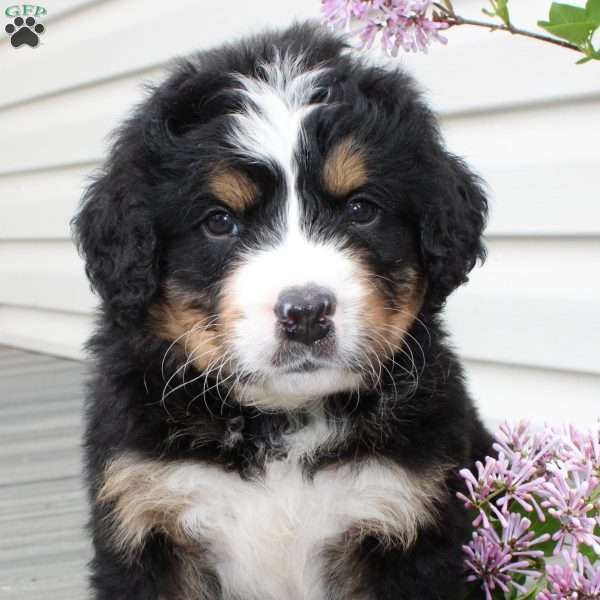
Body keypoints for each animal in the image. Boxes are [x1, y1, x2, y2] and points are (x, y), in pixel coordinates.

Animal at [74, 21, 492, 600]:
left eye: (360, 209)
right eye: (219, 221)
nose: (307, 313)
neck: (281, 424)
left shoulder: (407, 519)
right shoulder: (146, 517)